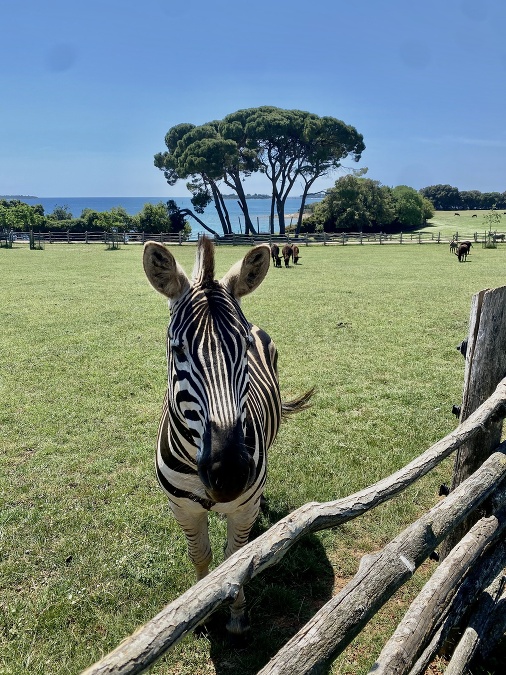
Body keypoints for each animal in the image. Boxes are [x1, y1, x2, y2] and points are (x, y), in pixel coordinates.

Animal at [142, 239, 312, 644]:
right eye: (178, 350)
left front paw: (236, 616)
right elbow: (200, 555)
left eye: (244, 347)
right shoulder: (182, 508)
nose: (231, 473)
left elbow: (236, 558)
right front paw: (200, 614)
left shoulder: (243, 507)